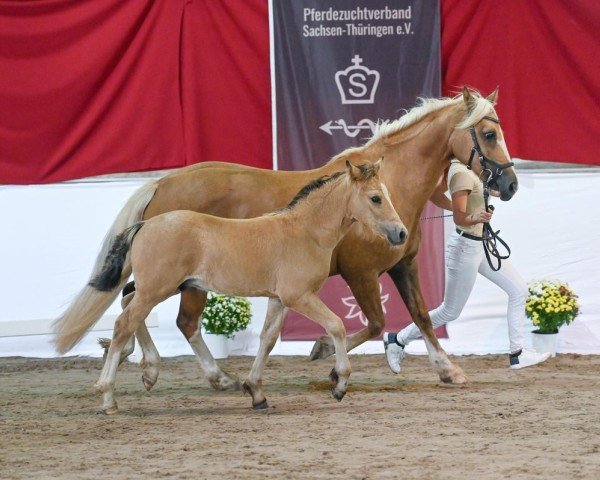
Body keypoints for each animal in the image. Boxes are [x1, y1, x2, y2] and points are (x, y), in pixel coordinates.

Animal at [86, 160, 406, 412]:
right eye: (376, 198)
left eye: (389, 195)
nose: (401, 233)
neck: (305, 231)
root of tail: (145, 225)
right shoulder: (298, 296)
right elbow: (336, 325)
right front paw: (339, 384)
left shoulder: (278, 299)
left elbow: (268, 339)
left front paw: (256, 392)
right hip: (158, 289)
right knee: (124, 322)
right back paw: (108, 396)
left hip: (164, 288)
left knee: (128, 307)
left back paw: (149, 372)